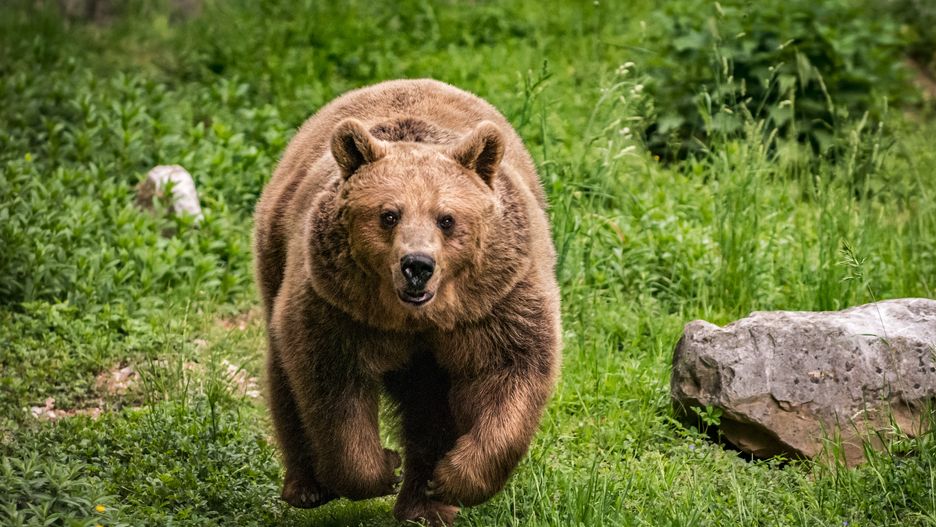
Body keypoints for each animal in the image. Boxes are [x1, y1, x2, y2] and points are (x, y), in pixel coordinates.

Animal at [253, 79, 561, 526]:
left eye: (446, 218)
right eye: (389, 215)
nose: (417, 265)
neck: (417, 318)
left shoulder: (495, 303)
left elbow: (512, 370)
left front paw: (450, 478)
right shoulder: (339, 308)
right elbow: (332, 387)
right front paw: (383, 467)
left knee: (430, 408)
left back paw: (425, 504)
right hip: (277, 256)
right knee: (284, 378)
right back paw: (308, 487)